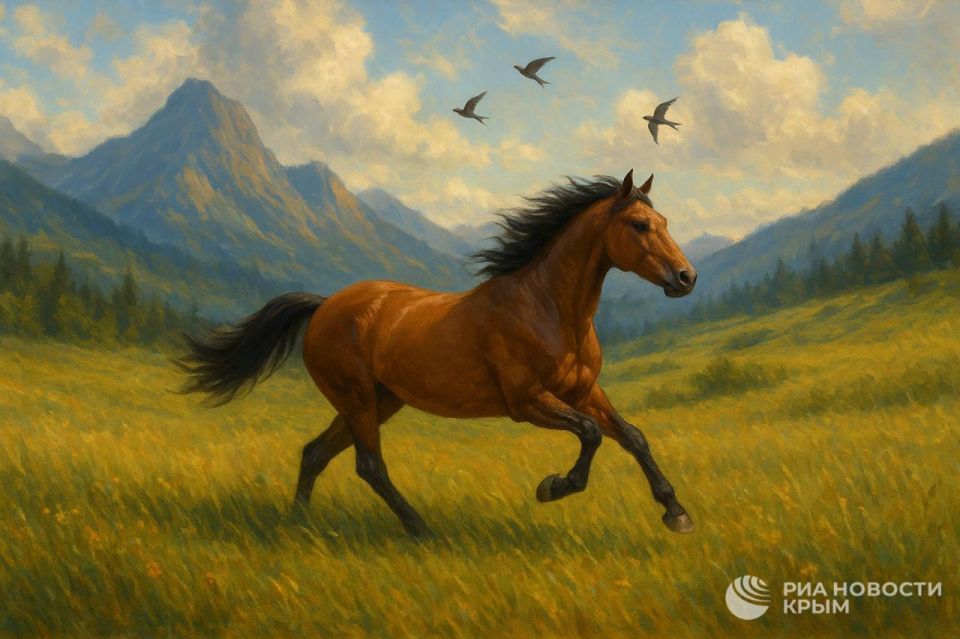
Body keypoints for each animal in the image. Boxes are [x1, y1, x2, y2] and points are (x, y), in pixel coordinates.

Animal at [177, 170, 698, 538]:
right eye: (639, 225)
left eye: (665, 223)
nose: (686, 277)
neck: (548, 307)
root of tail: (324, 305)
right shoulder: (527, 402)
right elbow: (590, 434)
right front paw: (553, 487)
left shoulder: (585, 391)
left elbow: (633, 437)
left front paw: (676, 512)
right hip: (359, 398)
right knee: (368, 465)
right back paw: (419, 528)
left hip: (378, 400)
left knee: (315, 453)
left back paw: (298, 523)